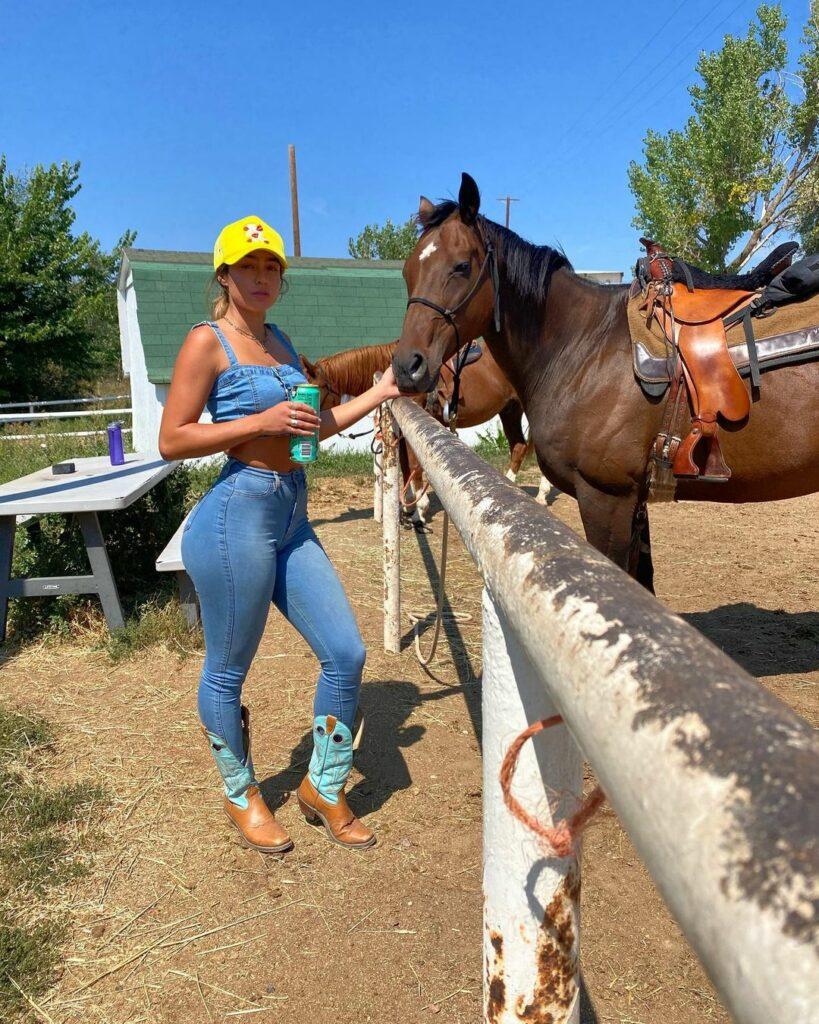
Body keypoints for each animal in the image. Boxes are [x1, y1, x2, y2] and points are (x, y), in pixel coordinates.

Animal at [391, 177, 818, 593]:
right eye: (408, 270)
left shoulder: (606, 499)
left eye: (462, 266)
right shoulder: (634, 500)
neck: (585, 346)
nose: (407, 366)